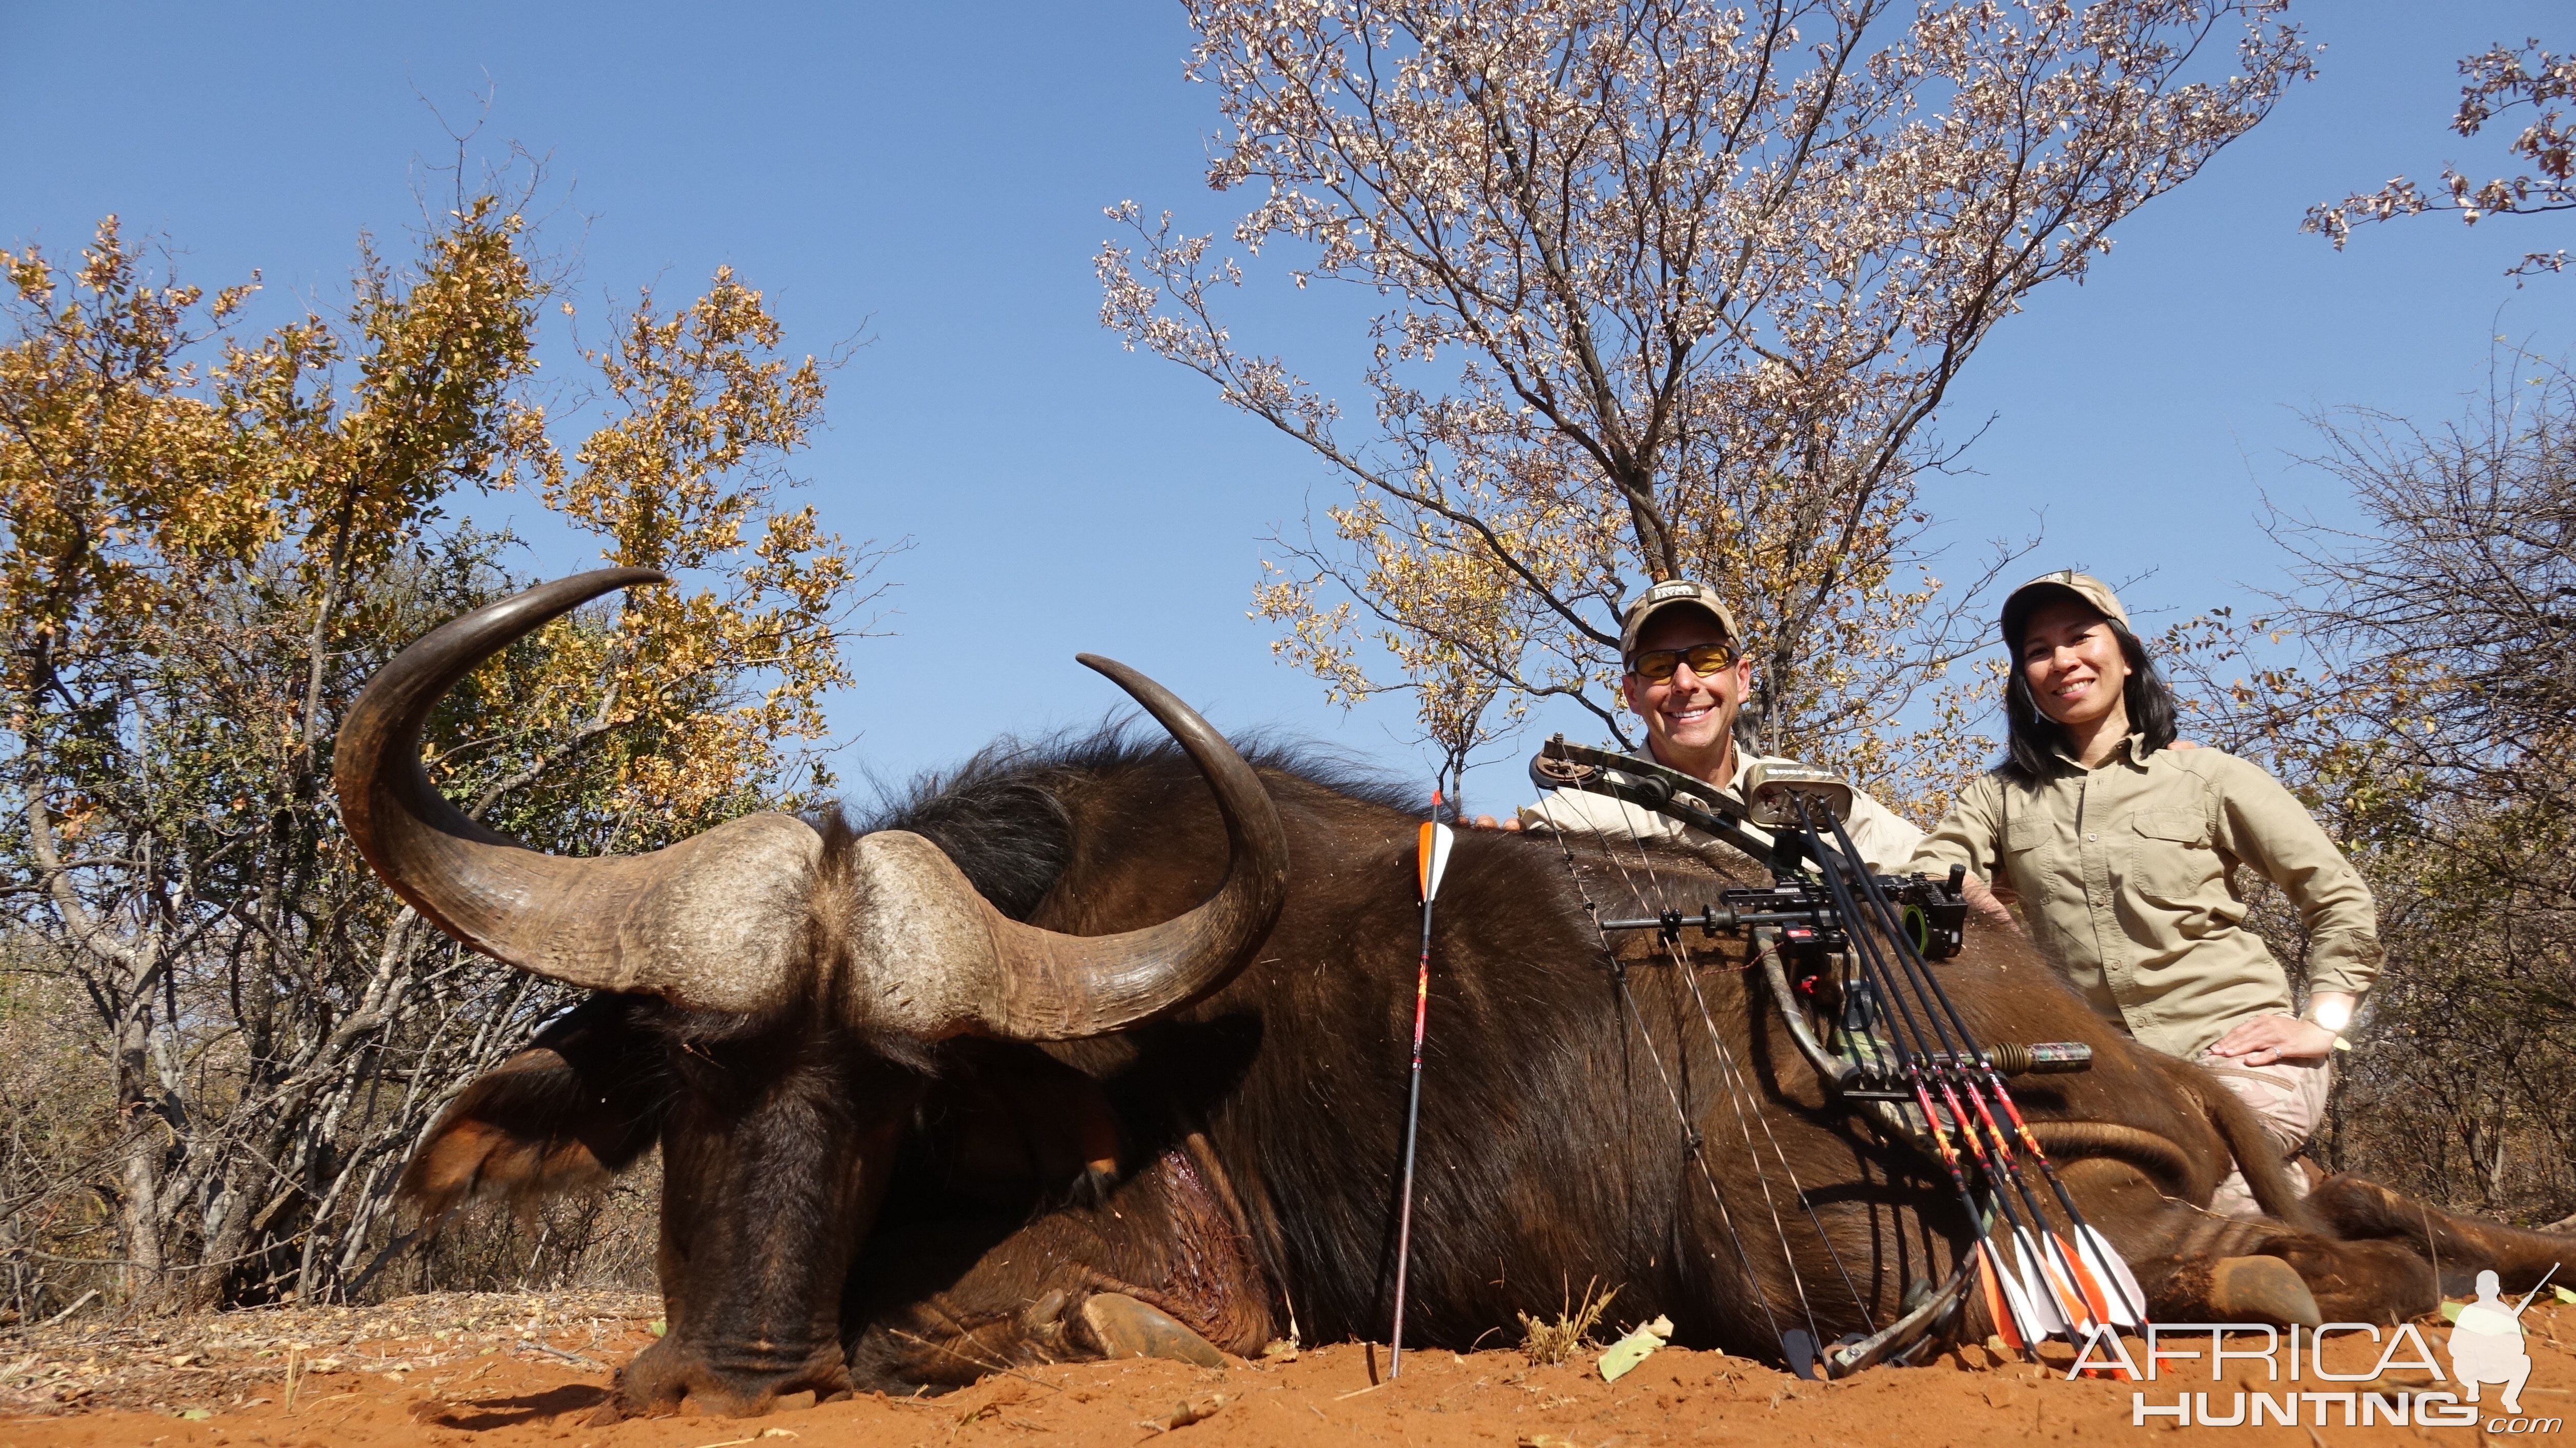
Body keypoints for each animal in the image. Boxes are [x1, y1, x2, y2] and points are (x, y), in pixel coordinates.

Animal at [348, 572, 2576, 1412]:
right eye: (685, 1074)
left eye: (903, 1085)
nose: (730, 1368)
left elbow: (1019, 1319)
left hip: (1886, 1256)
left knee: (2279, 1262)